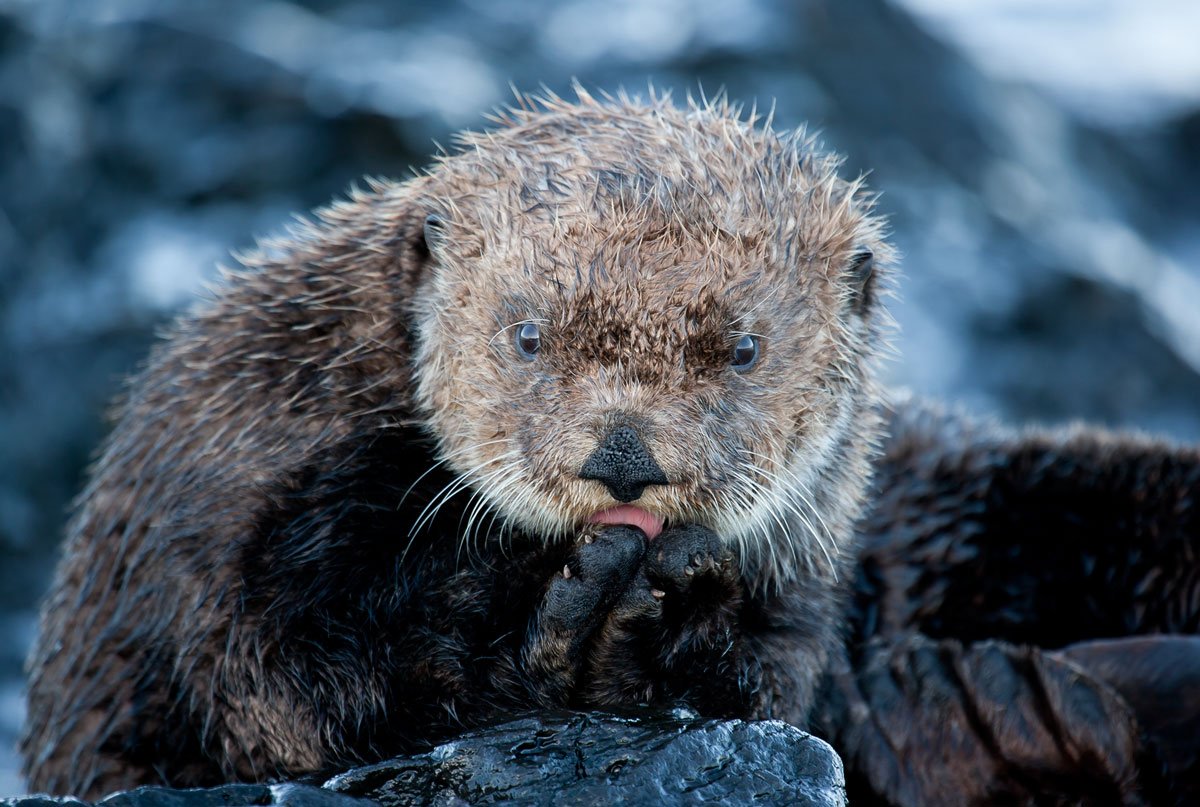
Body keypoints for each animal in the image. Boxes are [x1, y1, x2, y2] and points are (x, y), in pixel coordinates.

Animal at [18, 91, 1200, 802]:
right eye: (527, 334)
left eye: (744, 347)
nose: (626, 457)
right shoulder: (237, 479)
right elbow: (284, 686)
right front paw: (565, 623)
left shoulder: (817, 546)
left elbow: (767, 672)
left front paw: (641, 619)